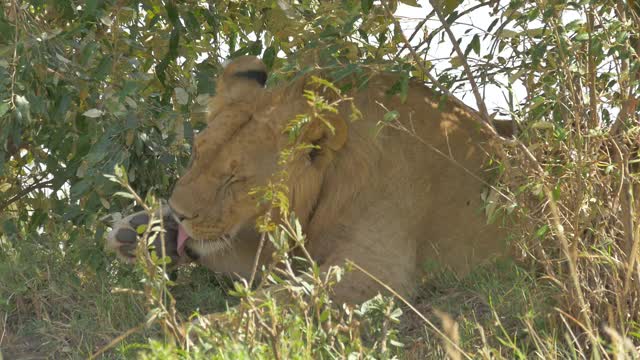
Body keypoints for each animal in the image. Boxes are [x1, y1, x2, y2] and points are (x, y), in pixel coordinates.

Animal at [109, 56, 510, 304]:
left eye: (235, 179)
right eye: (196, 154)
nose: (179, 212)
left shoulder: (375, 272)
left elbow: (274, 301)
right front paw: (142, 232)